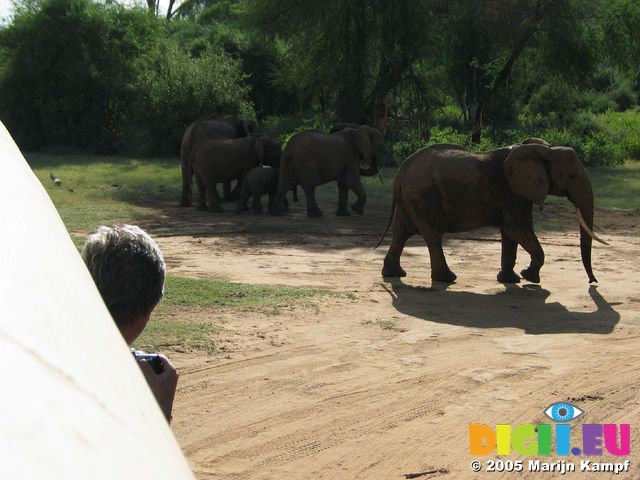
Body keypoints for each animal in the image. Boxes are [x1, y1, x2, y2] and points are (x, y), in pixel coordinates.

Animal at [378, 142, 608, 284]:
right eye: (571, 175)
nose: (593, 282)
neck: (545, 149)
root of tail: (399, 174)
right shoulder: (513, 191)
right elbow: (516, 229)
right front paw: (529, 277)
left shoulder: (516, 192)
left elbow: (510, 234)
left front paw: (510, 279)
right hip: (423, 196)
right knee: (432, 235)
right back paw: (447, 278)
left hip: (412, 198)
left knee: (402, 232)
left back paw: (395, 273)